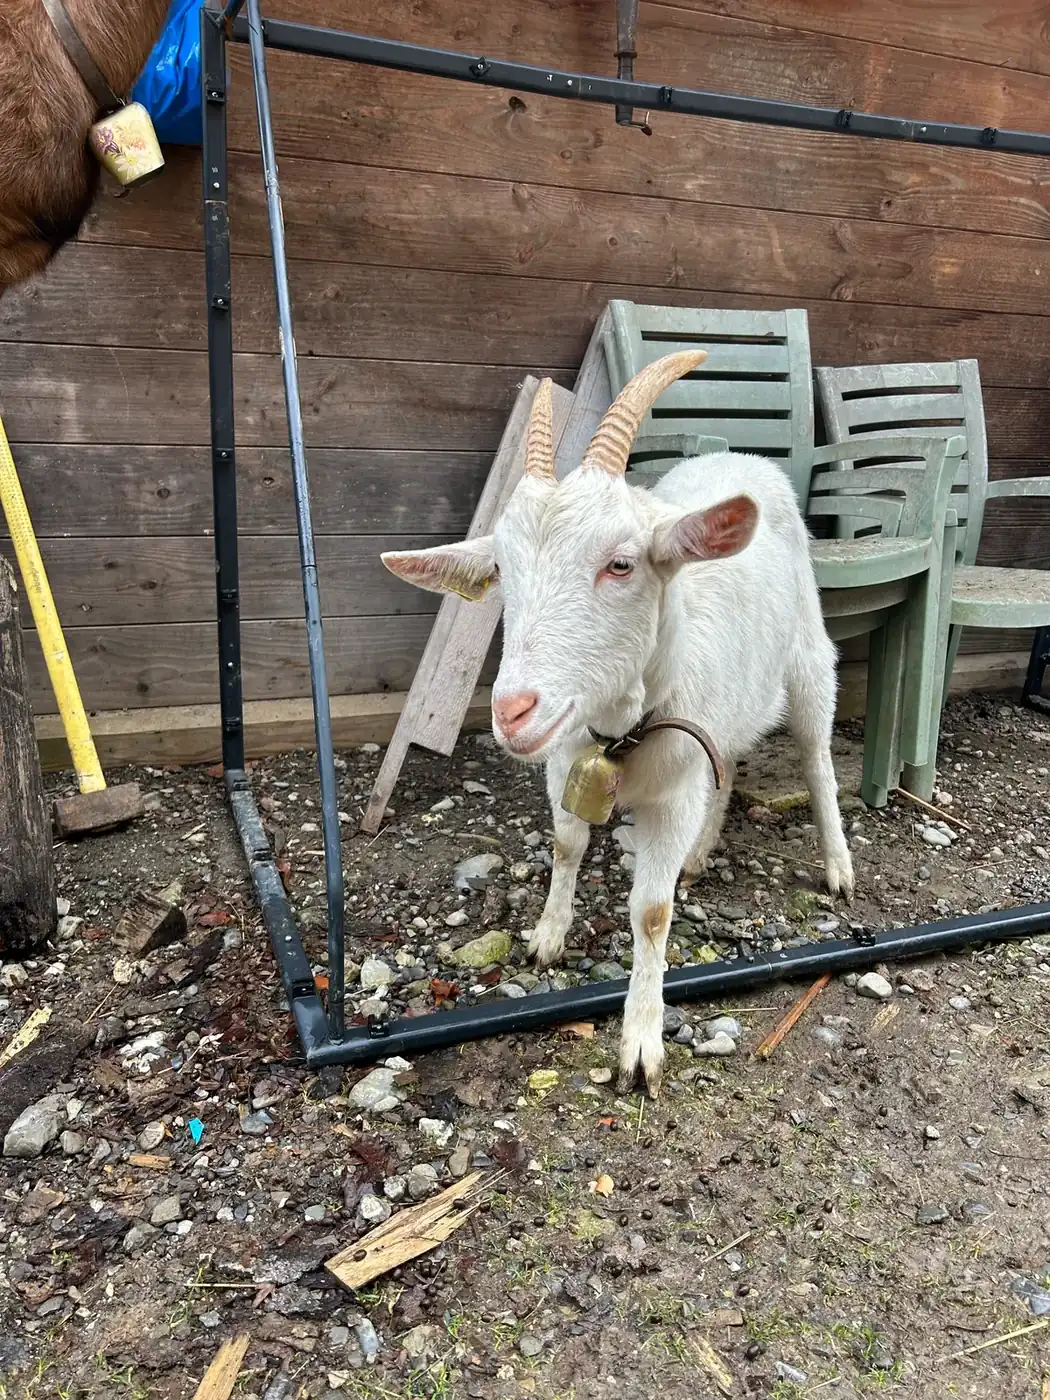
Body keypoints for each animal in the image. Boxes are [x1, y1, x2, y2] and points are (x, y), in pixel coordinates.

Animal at [383, 352, 853, 1096]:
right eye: (501, 570)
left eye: (621, 563)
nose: (513, 711)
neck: (623, 729)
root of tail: (742, 458)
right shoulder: (564, 762)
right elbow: (567, 846)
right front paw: (548, 936)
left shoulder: (673, 792)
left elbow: (651, 912)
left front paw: (640, 1044)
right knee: (728, 764)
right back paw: (701, 852)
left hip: (808, 654)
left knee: (816, 756)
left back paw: (837, 865)